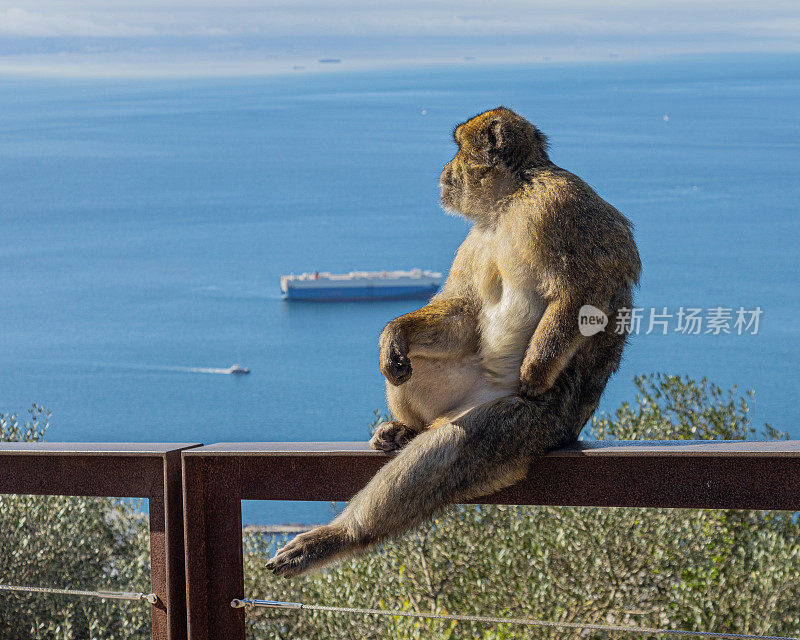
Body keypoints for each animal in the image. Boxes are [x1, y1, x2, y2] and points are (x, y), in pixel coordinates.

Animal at [266, 107, 640, 576]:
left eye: (458, 147)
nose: (444, 169)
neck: (508, 203)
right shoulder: (475, 239)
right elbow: (463, 309)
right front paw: (395, 333)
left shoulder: (558, 204)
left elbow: (588, 286)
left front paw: (536, 371)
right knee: (410, 369)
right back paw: (404, 428)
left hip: (526, 423)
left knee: (451, 445)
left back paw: (343, 534)